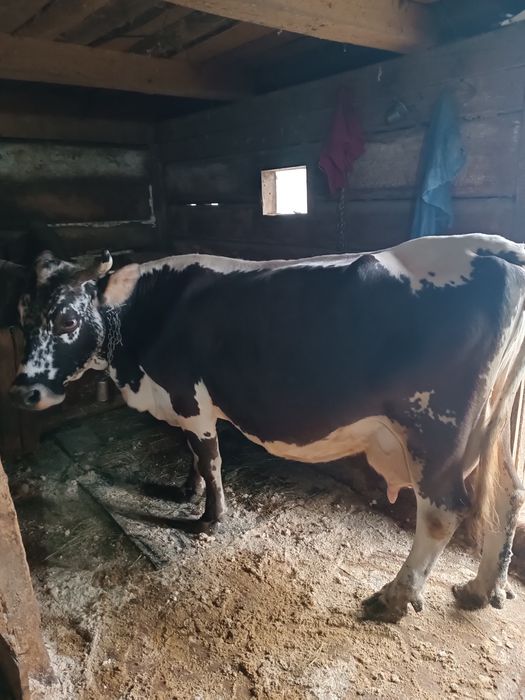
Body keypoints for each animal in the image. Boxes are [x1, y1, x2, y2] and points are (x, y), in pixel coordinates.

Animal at [8, 233, 525, 623]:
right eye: (21, 316)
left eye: (67, 319)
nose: (23, 392)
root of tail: (491, 246)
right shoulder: (183, 402)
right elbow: (189, 454)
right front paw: (185, 491)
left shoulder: (191, 400)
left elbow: (209, 458)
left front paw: (209, 517)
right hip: (498, 425)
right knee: (507, 496)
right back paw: (482, 589)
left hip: (434, 431)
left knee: (443, 510)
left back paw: (395, 597)